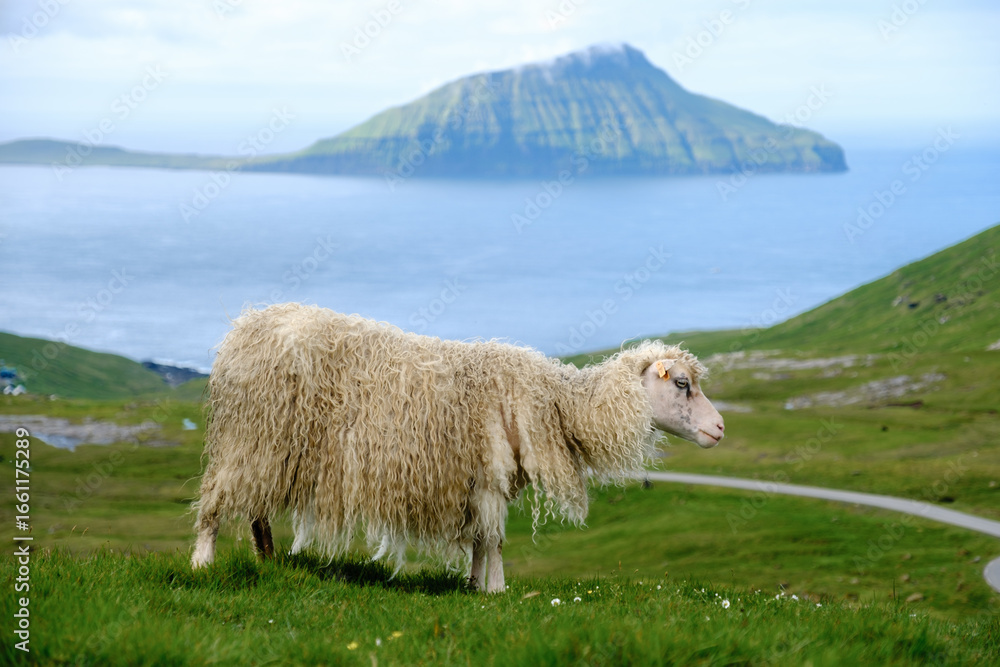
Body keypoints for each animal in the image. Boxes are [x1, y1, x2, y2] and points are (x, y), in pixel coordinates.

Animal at [191, 303, 725, 592]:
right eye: (682, 384)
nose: (719, 429)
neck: (556, 403)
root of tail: (243, 329)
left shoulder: (479, 481)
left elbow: (480, 540)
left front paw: (473, 584)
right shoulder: (489, 475)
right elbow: (494, 539)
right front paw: (497, 590)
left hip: (267, 446)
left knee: (256, 510)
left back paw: (266, 560)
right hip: (251, 437)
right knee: (216, 501)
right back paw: (202, 562)